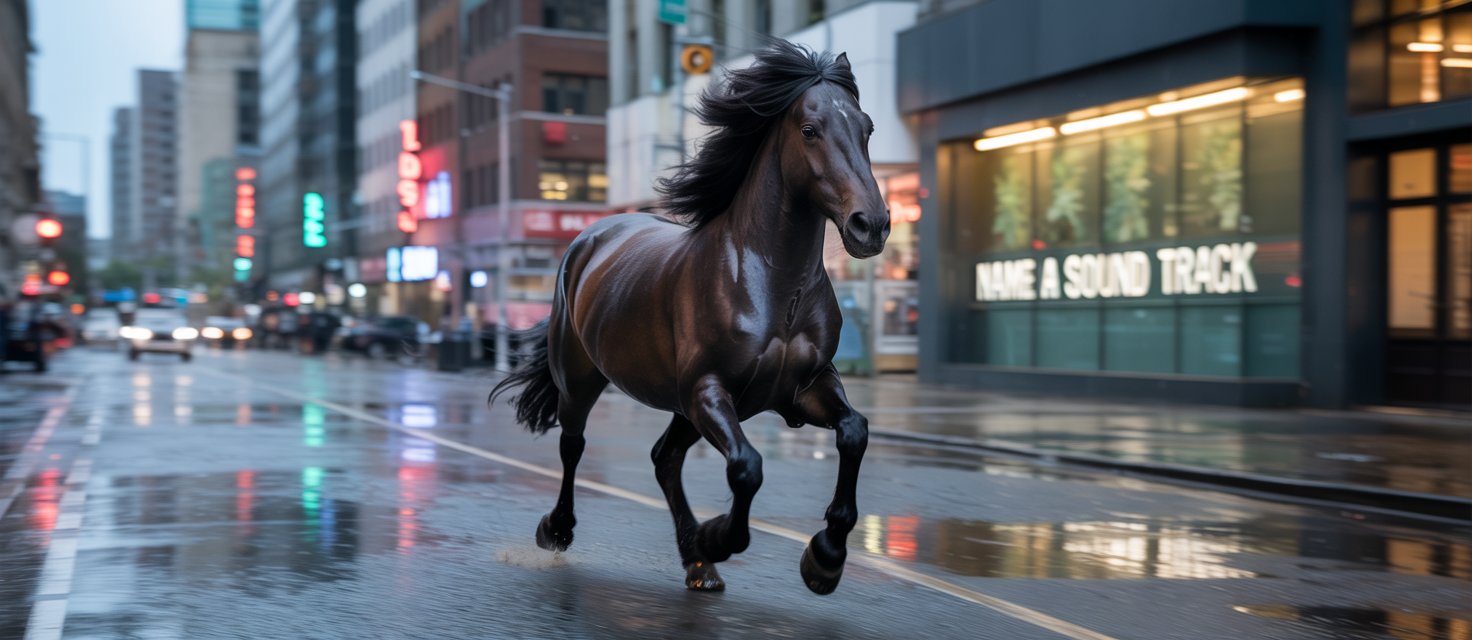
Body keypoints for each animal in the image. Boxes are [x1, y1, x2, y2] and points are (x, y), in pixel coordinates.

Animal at [490, 40, 888, 595]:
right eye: (810, 130)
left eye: (867, 127)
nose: (871, 225)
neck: (773, 285)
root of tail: (591, 237)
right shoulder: (709, 390)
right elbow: (747, 468)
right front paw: (717, 538)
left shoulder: (803, 388)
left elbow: (854, 432)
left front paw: (825, 558)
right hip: (582, 379)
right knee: (574, 445)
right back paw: (560, 531)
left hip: (680, 405)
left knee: (665, 458)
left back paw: (697, 563)